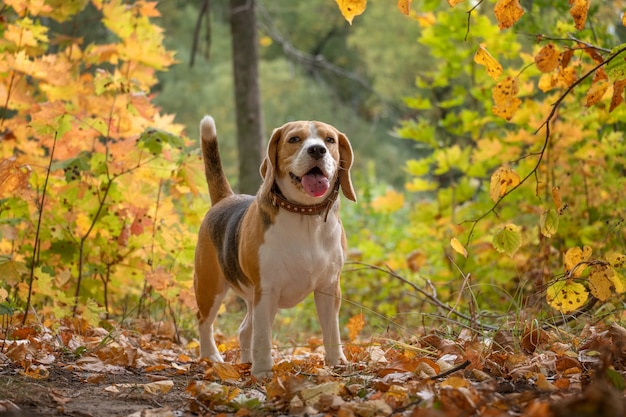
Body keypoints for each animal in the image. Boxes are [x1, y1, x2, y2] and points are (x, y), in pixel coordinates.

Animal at [193, 114, 354, 376]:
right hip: (210, 286)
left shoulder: (329, 287)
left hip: (250, 297)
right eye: (294, 139)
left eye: (330, 140)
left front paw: (336, 362)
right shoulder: (267, 289)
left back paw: (245, 362)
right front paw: (262, 372)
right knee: (204, 321)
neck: (305, 216)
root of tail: (226, 198)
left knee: (244, 330)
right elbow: (263, 337)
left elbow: (332, 331)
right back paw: (211, 357)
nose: (317, 150)